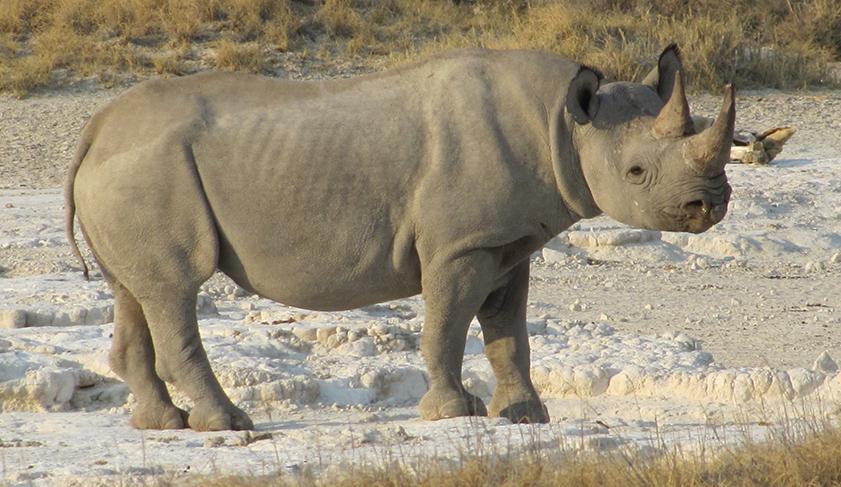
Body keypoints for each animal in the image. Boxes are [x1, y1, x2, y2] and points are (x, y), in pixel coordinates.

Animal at [65, 44, 732, 430]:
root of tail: (95, 129)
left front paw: (526, 416)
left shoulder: (508, 243)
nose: (710, 204)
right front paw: (453, 413)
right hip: (149, 170)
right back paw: (229, 425)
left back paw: (161, 425)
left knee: (135, 289)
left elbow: (509, 334)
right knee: (175, 287)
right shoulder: (461, 245)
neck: (565, 125)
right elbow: (447, 327)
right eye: (637, 173)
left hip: (132, 172)